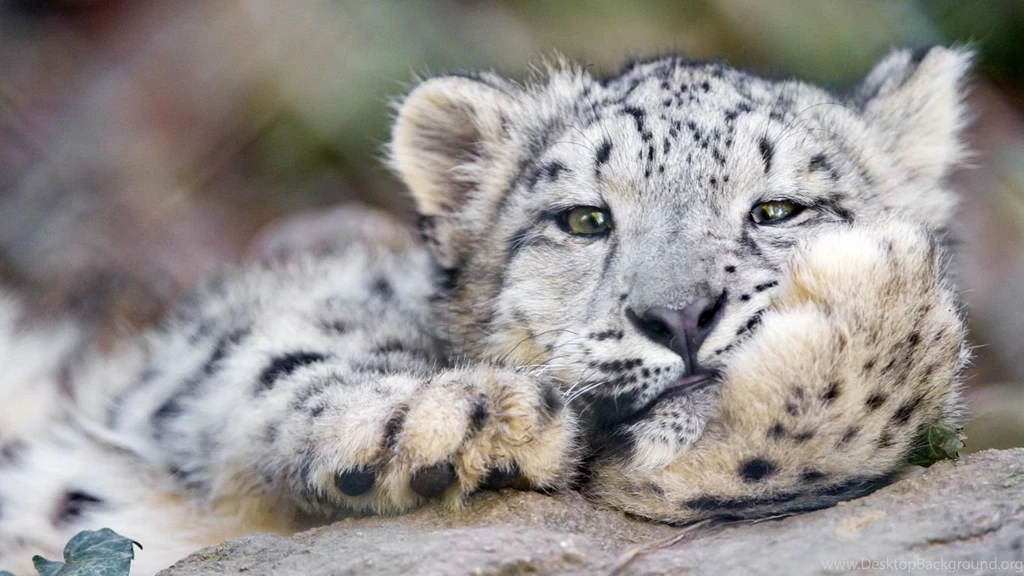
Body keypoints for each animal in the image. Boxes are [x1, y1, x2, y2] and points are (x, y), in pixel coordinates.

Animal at [0, 45, 971, 575]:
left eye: (777, 209)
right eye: (584, 218)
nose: (681, 316)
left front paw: (879, 300)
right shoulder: (215, 345)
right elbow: (276, 355)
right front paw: (451, 421)